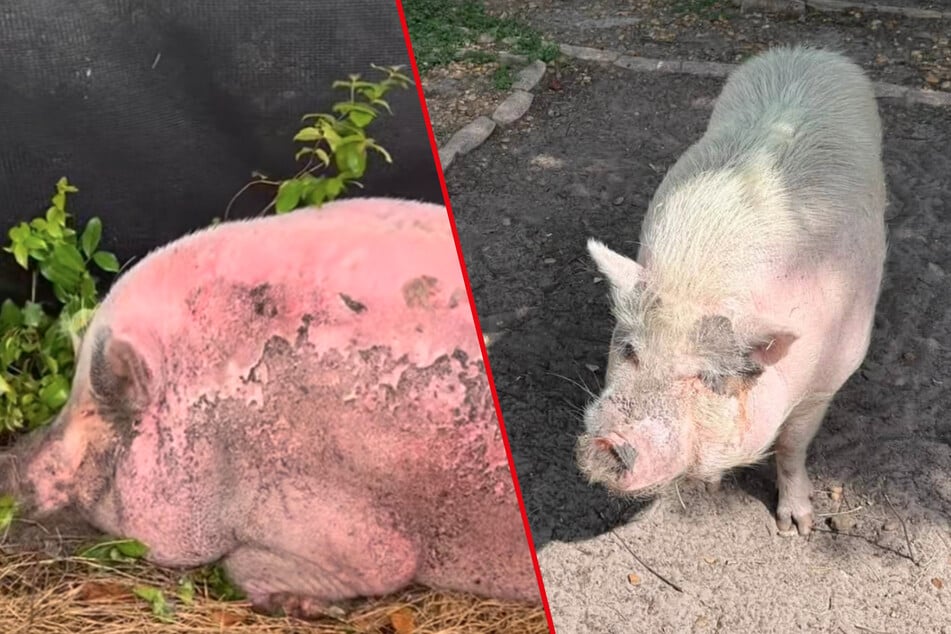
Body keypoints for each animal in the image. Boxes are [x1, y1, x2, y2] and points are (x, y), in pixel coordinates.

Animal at [0, 197, 540, 615]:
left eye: (96, 416)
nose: (6, 462)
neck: (220, 435)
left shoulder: (353, 527)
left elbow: (256, 564)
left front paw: (315, 609)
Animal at [577, 46, 887, 536]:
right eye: (629, 350)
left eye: (705, 377)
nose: (609, 442)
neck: (698, 284)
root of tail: (808, 50)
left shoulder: (828, 381)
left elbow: (793, 445)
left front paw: (797, 528)